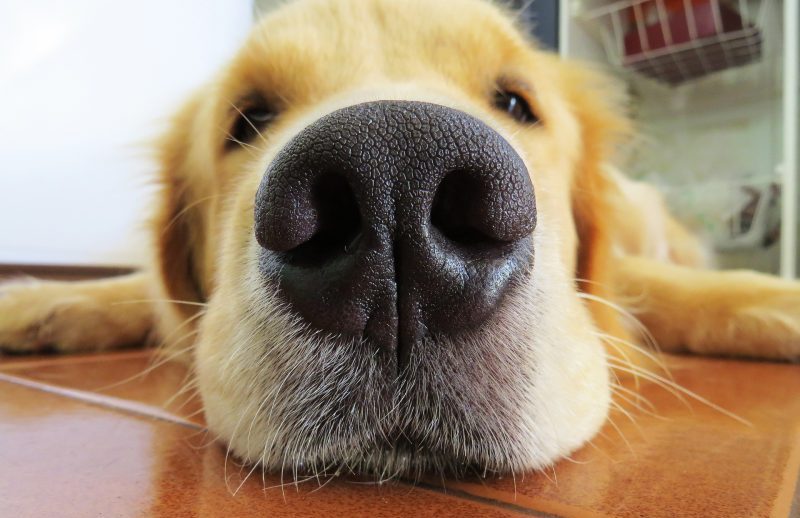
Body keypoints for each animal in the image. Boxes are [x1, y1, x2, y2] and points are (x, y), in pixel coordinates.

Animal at [1, 0, 800, 480]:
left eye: (518, 103)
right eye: (248, 119)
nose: (396, 185)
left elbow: (674, 289)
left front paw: (777, 302)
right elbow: (142, 293)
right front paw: (39, 303)